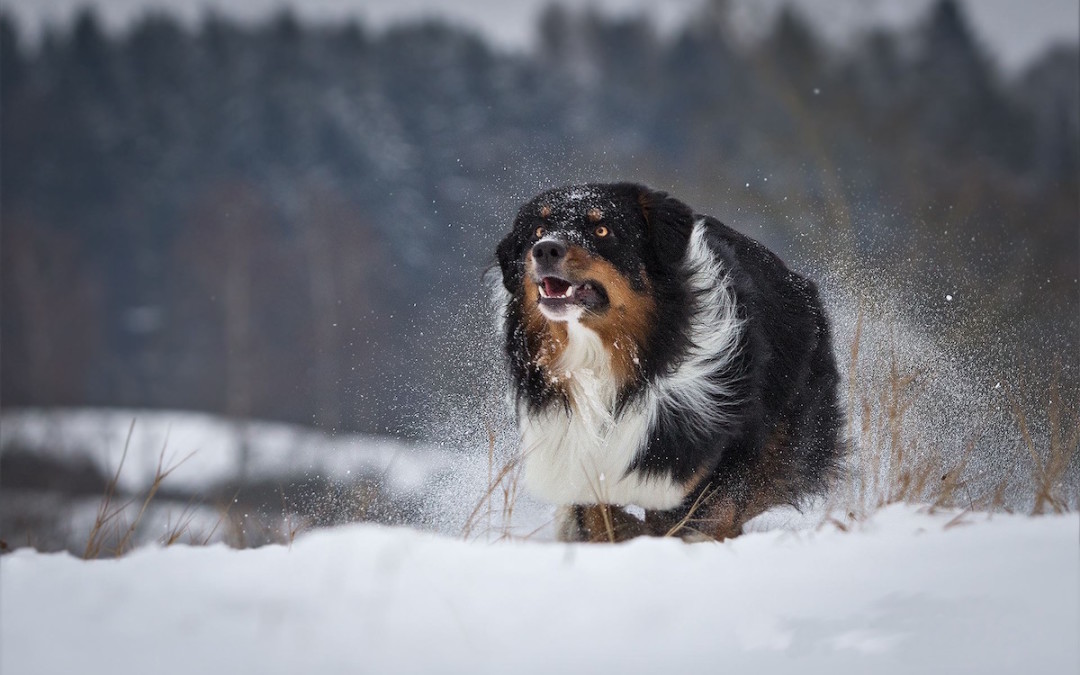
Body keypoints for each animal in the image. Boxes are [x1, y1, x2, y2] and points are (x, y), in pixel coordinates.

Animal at [492, 184, 842, 542]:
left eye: (602, 230)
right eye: (537, 230)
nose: (545, 249)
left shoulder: (699, 459)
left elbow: (695, 516)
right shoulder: (584, 463)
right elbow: (601, 520)